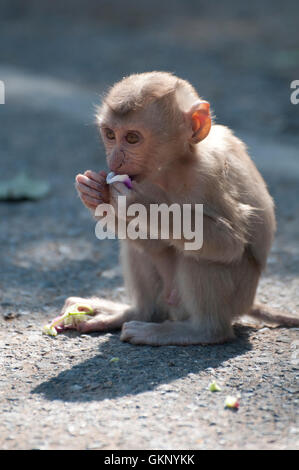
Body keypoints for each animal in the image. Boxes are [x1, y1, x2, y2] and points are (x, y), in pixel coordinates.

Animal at [68, 71, 299, 344]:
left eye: (132, 138)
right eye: (110, 135)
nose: (114, 160)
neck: (175, 167)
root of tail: (250, 302)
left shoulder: (211, 172)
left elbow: (229, 243)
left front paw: (137, 204)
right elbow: (154, 241)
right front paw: (94, 194)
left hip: (236, 292)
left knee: (200, 255)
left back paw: (200, 330)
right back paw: (137, 313)